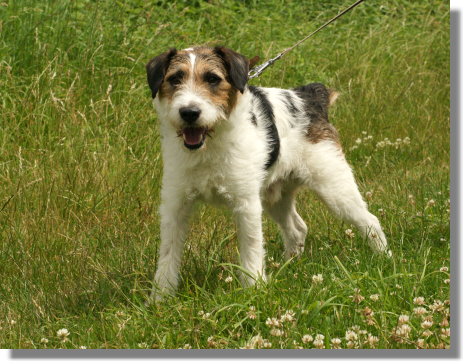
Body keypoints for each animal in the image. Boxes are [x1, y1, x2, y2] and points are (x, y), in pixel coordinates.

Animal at [146, 45, 392, 302]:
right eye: (175, 78)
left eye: (212, 78)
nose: (189, 112)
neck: (208, 148)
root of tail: (310, 97)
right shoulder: (175, 206)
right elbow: (168, 254)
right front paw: (160, 298)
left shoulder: (246, 205)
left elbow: (252, 249)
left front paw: (254, 289)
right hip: (276, 197)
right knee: (297, 229)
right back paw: (289, 267)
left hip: (335, 188)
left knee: (369, 221)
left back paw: (384, 259)